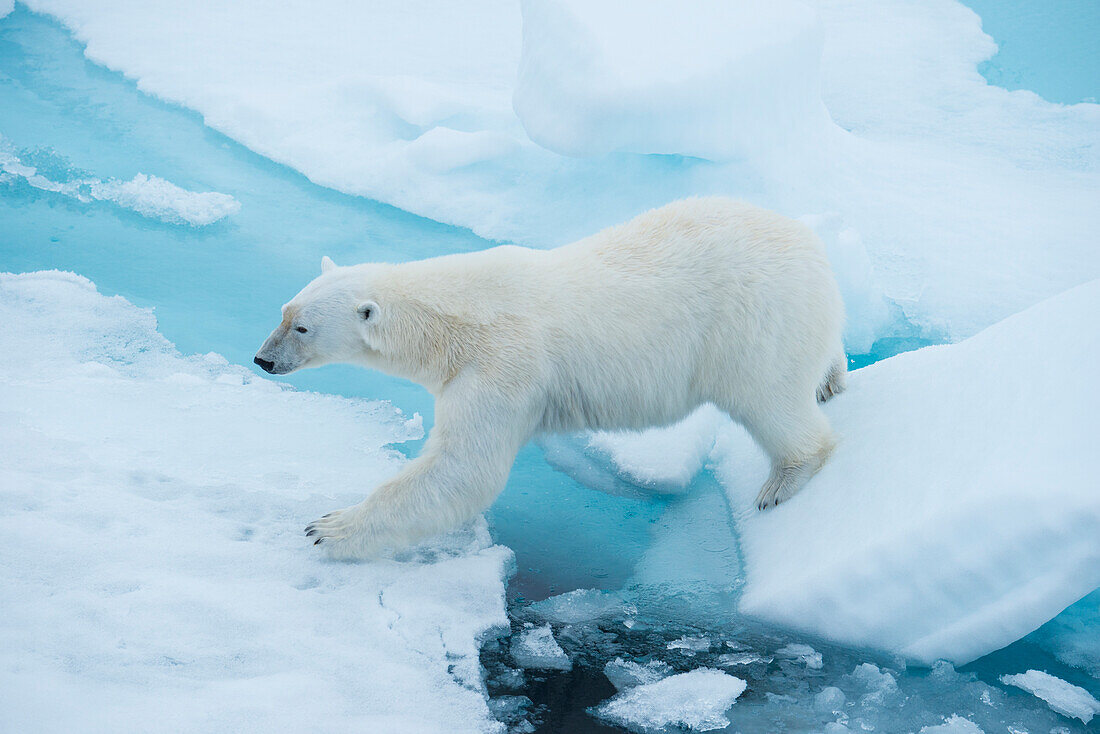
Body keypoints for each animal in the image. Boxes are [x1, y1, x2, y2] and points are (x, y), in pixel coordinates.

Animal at [255, 198, 840, 559]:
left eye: (302, 328)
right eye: (283, 311)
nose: (263, 360)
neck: (454, 316)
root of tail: (812, 246)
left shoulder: (503, 366)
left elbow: (464, 469)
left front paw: (328, 527)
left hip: (752, 322)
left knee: (768, 399)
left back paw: (782, 480)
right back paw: (830, 380)